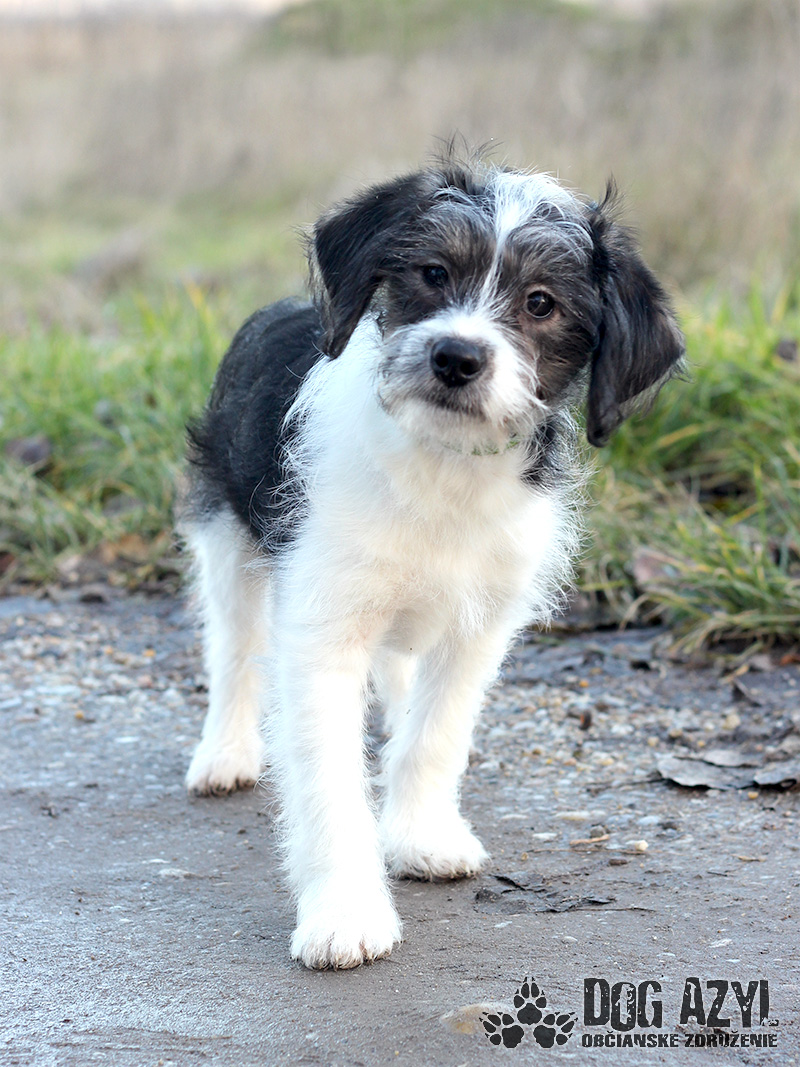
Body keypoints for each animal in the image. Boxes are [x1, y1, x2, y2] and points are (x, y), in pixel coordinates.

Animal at [181, 152, 684, 970]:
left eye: (541, 302)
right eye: (433, 272)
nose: (457, 356)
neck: (440, 463)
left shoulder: (479, 627)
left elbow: (434, 736)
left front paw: (420, 836)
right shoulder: (323, 626)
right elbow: (329, 780)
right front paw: (345, 913)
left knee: (396, 678)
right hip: (225, 537)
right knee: (234, 649)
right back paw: (224, 754)